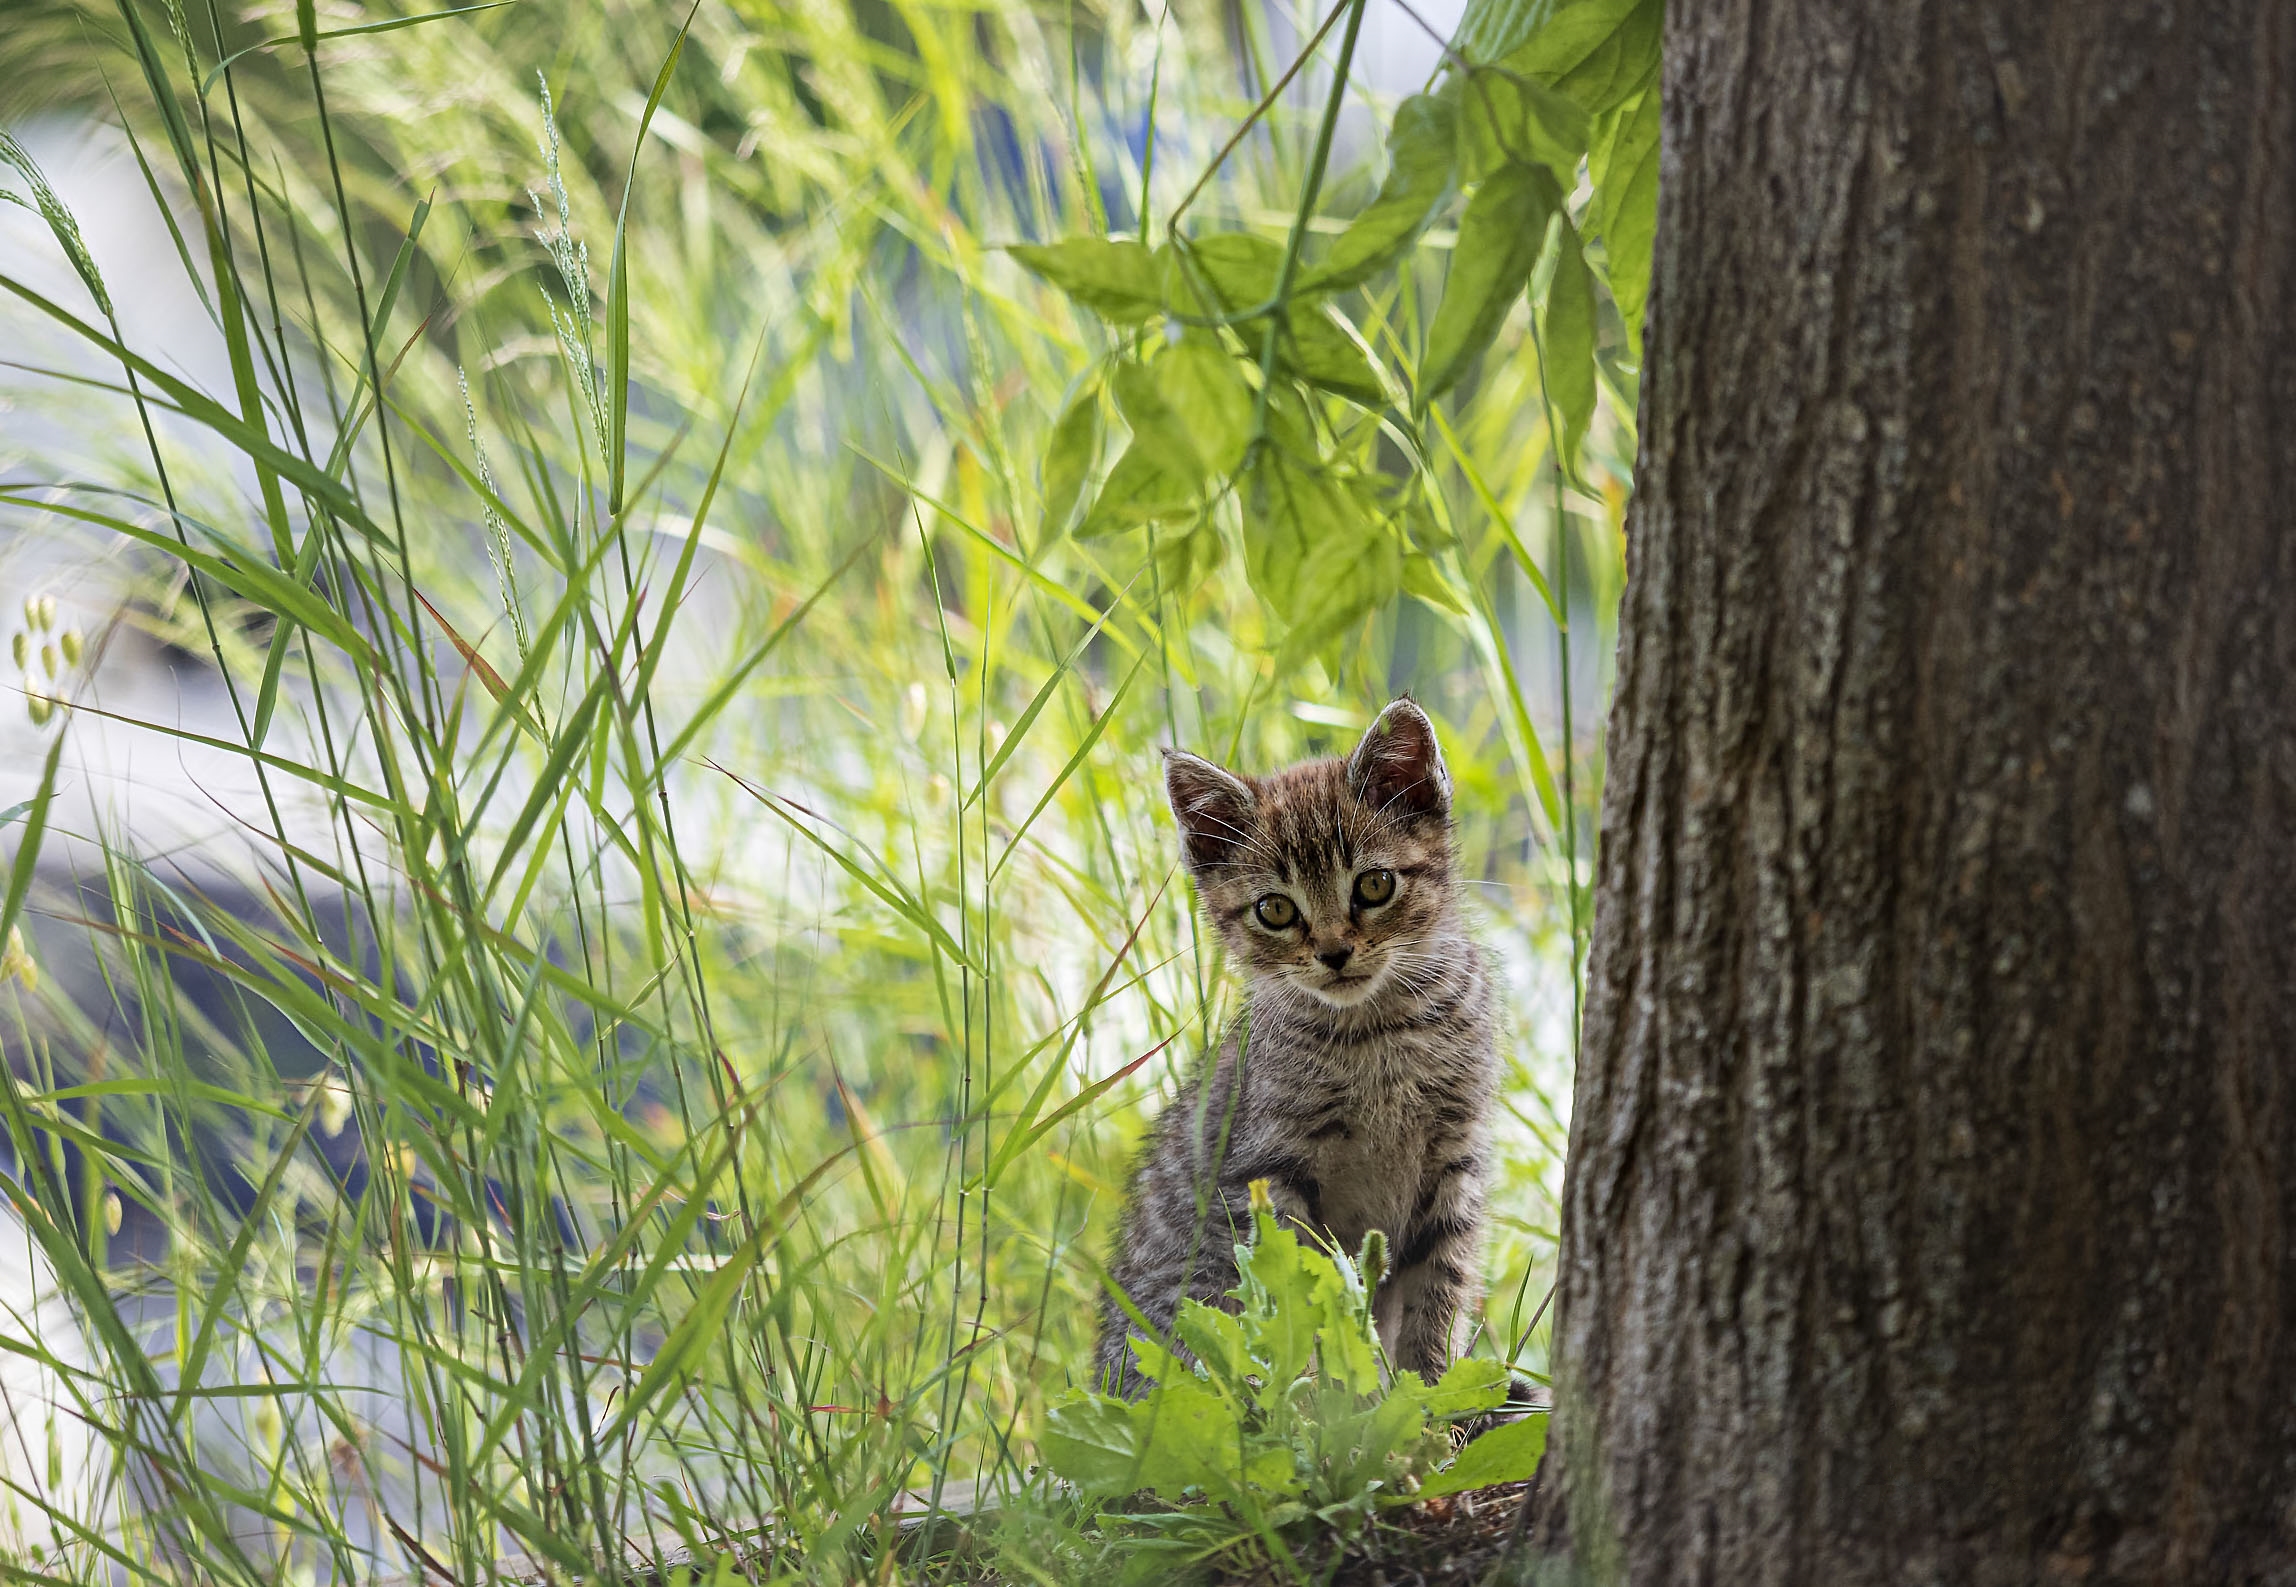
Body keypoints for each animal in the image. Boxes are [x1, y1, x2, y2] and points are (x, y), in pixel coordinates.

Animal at [1097, 702, 1506, 1396]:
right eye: (1276, 910)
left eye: (1374, 886)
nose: (1335, 953)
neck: (1376, 1032)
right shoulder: (1271, 1168)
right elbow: (1300, 1290)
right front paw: (1320, 1401)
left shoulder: (1455, 1159)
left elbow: (1439, 1294)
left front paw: (1431, 1402)